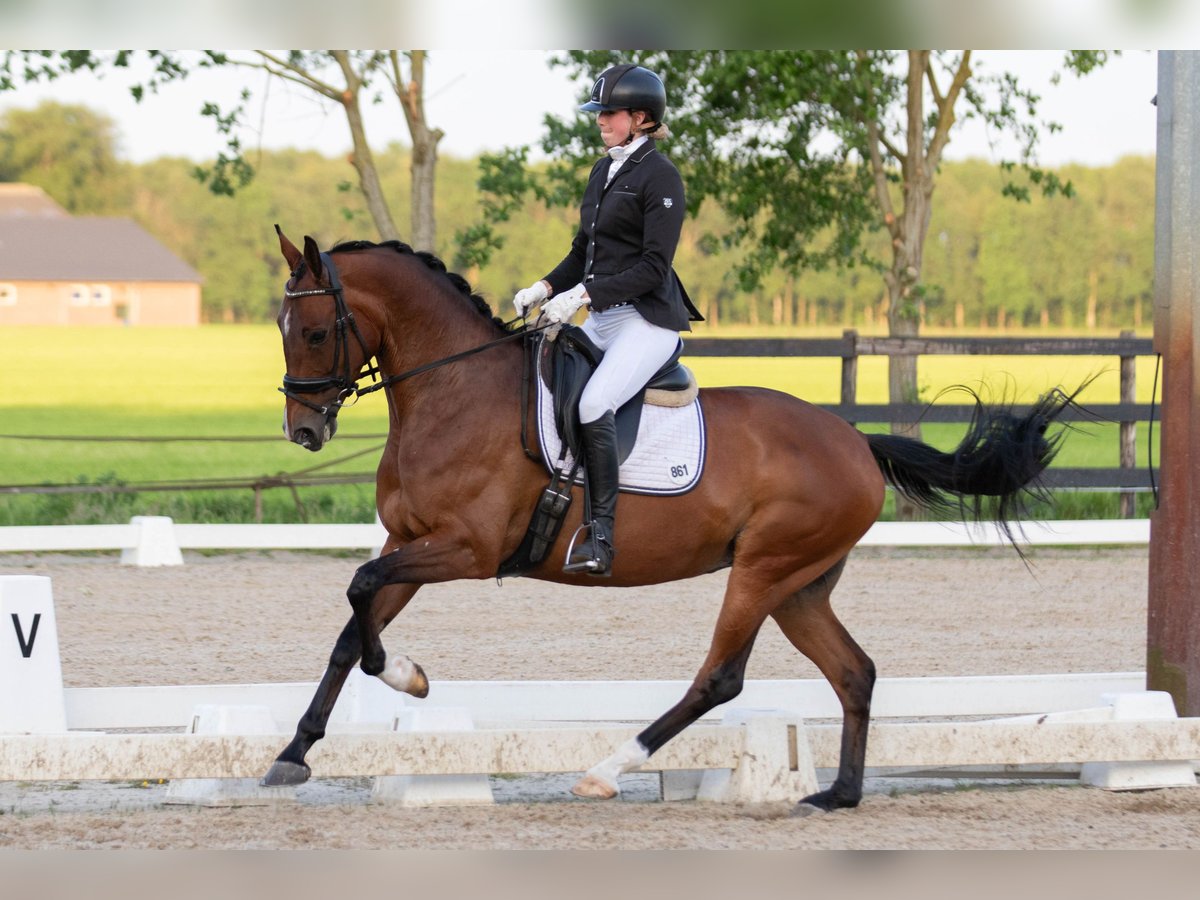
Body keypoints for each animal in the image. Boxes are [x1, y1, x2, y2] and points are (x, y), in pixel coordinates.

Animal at [267, 229, 1075, 816]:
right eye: (282, 325)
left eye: (315, 331)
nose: (303, 432)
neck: (452, 390)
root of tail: (853, 439)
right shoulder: (411, 540)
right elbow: (352, 625)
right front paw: (293, 754)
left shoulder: (466, 549)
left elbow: (359, 594)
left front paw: (408, 677)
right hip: (800, 585)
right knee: (854, 671)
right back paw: (838, 796)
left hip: (764, 570)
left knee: (720, 678)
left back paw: (606, 770)